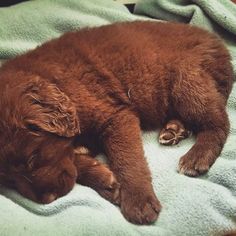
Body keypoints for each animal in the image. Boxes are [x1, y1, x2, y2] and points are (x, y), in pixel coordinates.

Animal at [0, 21, 233, 224]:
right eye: (9, 180)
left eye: (32, 159)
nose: (47, 200)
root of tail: (218, 43)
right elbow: (75, 159)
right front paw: (106, 181)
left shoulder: (116, 116)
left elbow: (127, 159)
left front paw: (138, 201)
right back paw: (174, 129)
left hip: (187, 80)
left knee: (219, 122)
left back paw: (196, 156)